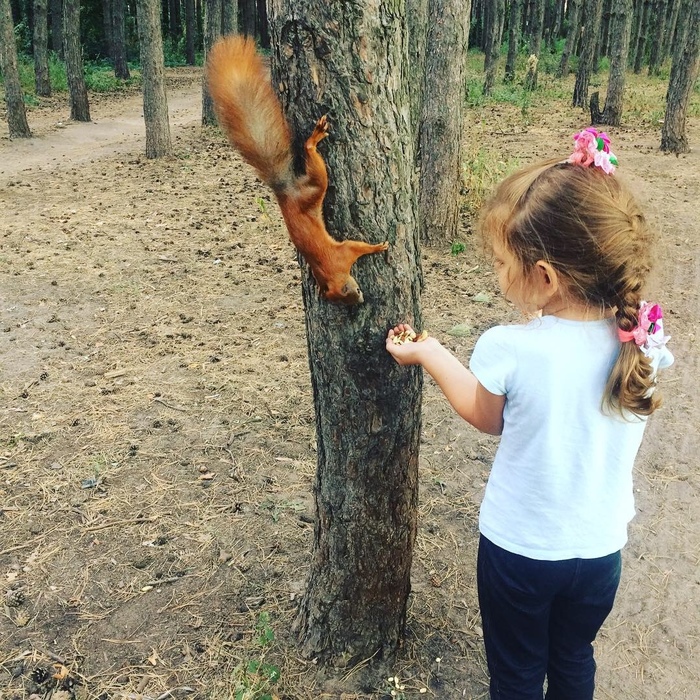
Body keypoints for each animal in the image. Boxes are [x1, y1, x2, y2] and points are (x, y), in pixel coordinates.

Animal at [205, 34, 392, 304]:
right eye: (350, 293)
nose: (361, 300)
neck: (328, 273)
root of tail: (286, 192)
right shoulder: (343, 255)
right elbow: (356, 246)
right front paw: (379, 246)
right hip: (315, 186)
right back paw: (314, 139)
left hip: (314, 185)